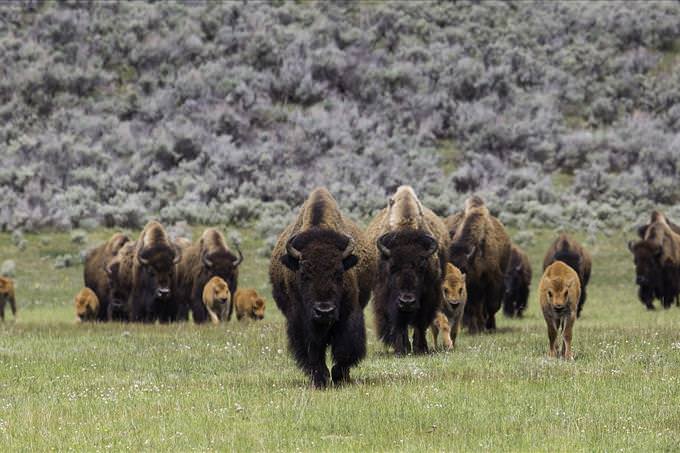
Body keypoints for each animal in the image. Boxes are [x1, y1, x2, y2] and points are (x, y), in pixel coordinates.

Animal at [270, 187, 378, 388]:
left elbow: (345, 348)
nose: (324, 311)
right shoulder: (301, 321)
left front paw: (338, 376)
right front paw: (321, 379)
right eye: (304, 274)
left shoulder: (349, 313)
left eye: (339, 273)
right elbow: (313, 351)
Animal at [366, 185, 446, 354]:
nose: (407, 301)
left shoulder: (429, 296)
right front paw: (400, 350)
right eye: (392, 267)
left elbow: (420, 323)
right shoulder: (387, 298)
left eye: (421, 266)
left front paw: (421, 348)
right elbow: (398, 324)